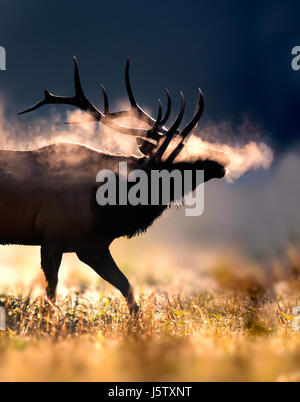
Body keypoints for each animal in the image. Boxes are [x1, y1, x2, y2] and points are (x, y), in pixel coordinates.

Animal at [4, 57, 229, 314]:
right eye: (179, 154)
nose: (223, 159)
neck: (110, 208)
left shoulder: (94, 245)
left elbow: (127, 287)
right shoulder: (53, 238)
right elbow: (52, 291)